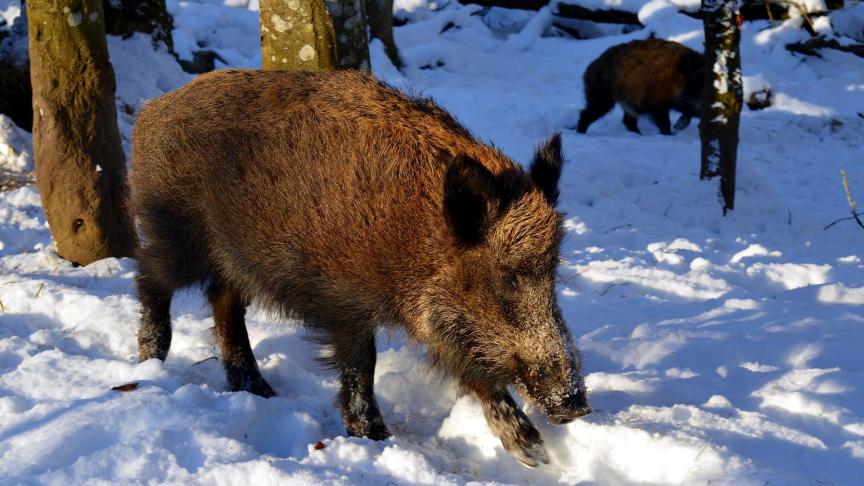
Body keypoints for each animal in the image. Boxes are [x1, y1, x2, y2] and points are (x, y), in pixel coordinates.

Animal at [130, 69, 589, 468]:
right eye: (508, 275)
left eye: (552, 270)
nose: (576, 405)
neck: (417, 239)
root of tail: (150, 111)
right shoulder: (346, 302)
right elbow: (362, 364)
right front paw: (374, 438)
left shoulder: (446, 323)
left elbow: (473, 369)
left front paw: (534, 454)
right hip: (178, 233)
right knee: (150, 274)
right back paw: (151, 359)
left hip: (232, 257)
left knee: (222, 299)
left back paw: (258, 391)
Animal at [576, 38, 705, 135]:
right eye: (700, 80)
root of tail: (588, 70)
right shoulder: (656, 104)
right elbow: (664, 122)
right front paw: (670, 134)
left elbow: (687, 115)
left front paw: (678, 126)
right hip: (601, 97)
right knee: (586, 113)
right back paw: (581, 133)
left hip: (626, 103)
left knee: (628, 121)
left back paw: (638, 135)